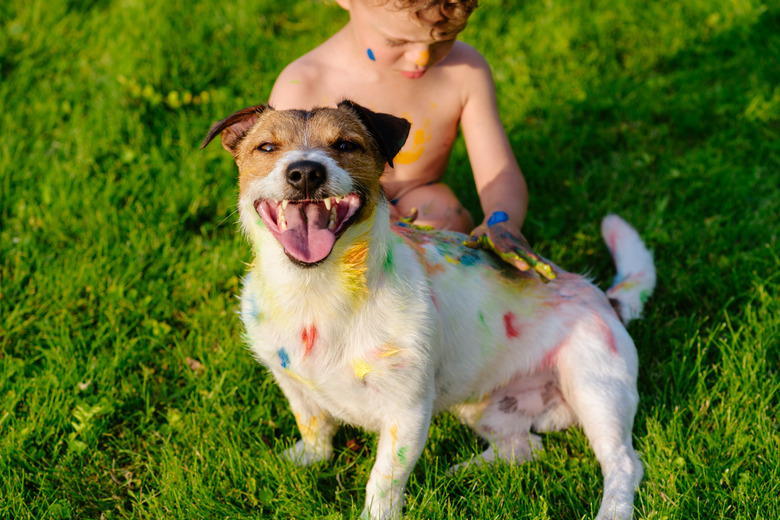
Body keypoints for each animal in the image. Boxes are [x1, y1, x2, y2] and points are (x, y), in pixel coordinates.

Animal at [203, 101, 660, 520]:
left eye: (346, 144)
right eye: (266, 147)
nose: (305, 172)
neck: (318, 293)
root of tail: (602, 295)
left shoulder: (406, 411)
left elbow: (382, 481)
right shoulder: (292, 383)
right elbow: (313, 425)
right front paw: (304, 459)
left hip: (596, 388)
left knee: (623, 463)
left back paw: (612, 509)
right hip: (481, 403)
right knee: (523, 446)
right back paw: (462, 473)